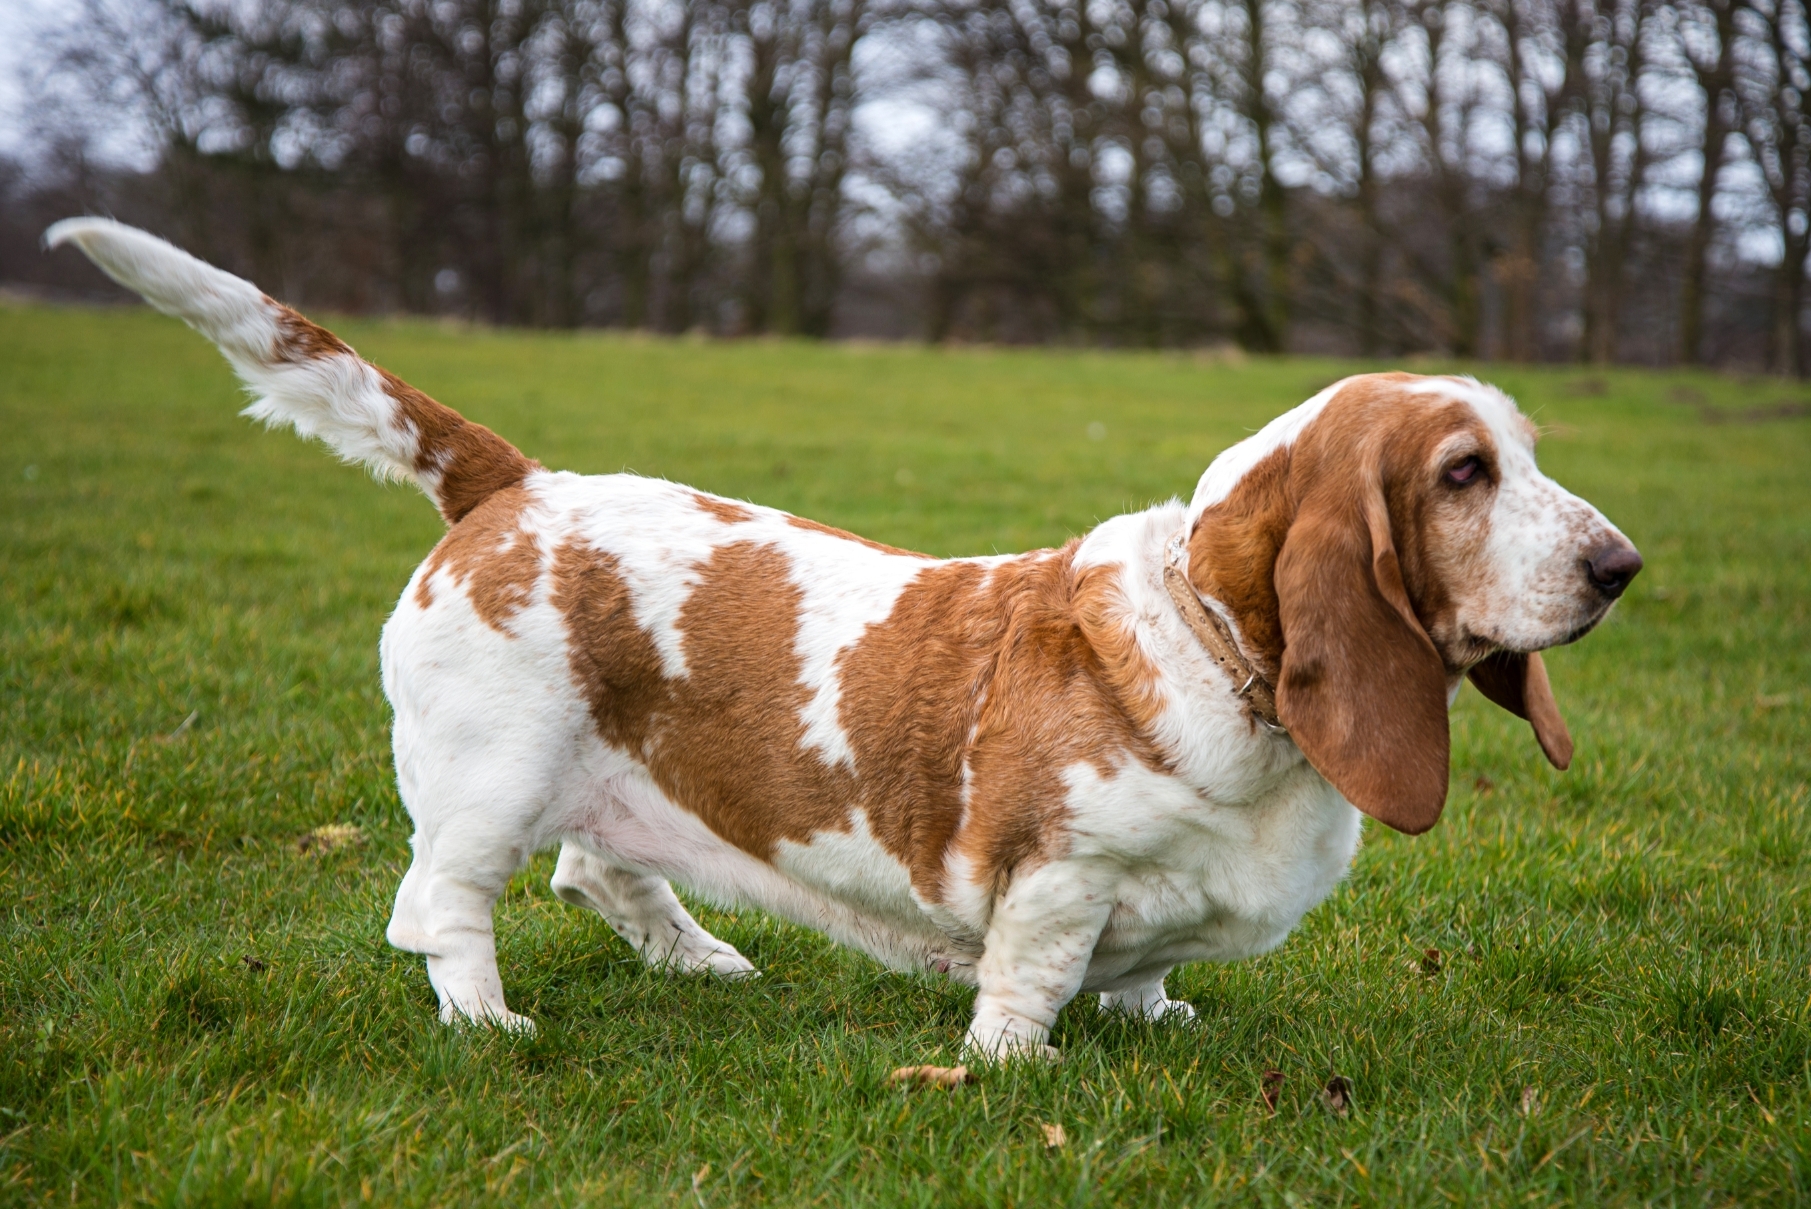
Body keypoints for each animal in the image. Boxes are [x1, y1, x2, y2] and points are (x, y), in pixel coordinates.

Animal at [52, 217, 1644, 1056]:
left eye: (1525, 452)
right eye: (1461, 475)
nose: (1621, 567)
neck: (1216, 652)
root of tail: (514, 483)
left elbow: (1146, 971)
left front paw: (1159, 1018)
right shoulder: (1053, 878)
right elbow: (1033, 977)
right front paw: (1012, 1066)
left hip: (605, 773)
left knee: (596, 868)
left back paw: (701, 961)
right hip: (489, 779)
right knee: (443, 906)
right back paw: (492, 1026)